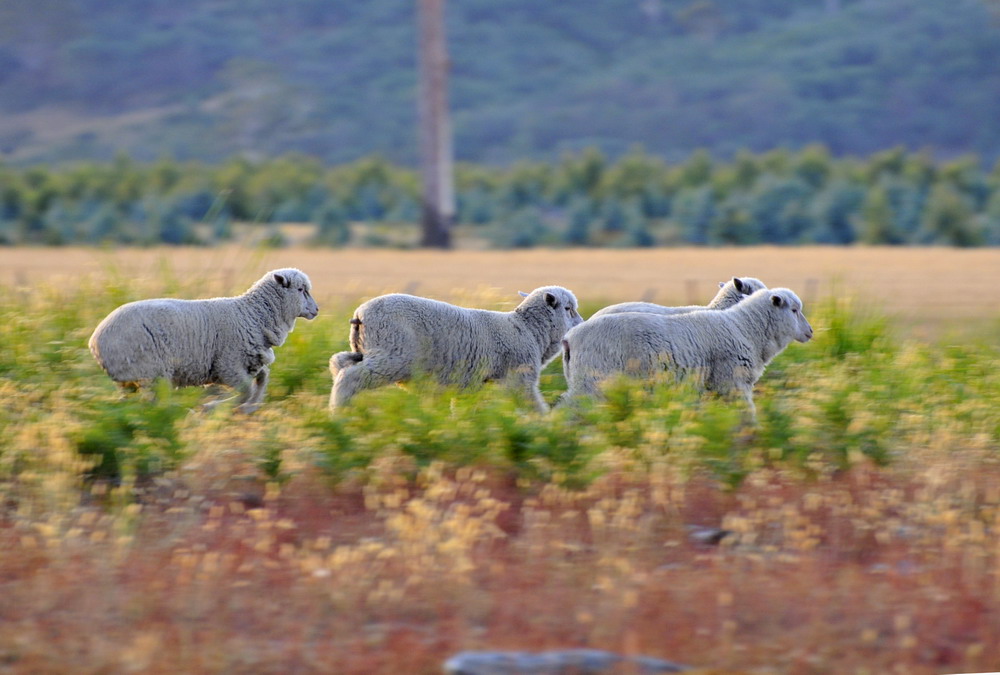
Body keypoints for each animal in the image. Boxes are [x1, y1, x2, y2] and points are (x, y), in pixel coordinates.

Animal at [89, 268, 318, 414]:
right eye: (300, 290)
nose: (316, 310)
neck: (253, 314)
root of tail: (94, 341)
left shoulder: (249, 363)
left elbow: (261, 381)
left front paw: (249, 407)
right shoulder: (228, 365)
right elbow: (247, 391)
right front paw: (216, 407)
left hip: (129, 379)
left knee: (130, 405)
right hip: (150, 373)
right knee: (154, 405)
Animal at [328, 286, 584, 412]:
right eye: (568, 308)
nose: (582, 323)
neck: (528, 329)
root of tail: (360, 314)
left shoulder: (470, 385)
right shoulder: (519, 378)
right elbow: (532, 405)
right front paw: (546, 423)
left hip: (367, 350)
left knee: (339, 363)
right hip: (392, 354)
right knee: (350, 376)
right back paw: (338, 410)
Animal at [564, 286, 812, 422]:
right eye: (794, 310)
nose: (810, 332)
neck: (744, 327)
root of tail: (570, 338)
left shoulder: (710, 388)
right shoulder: (731, 382)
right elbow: (746, 415)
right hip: (592, 382)